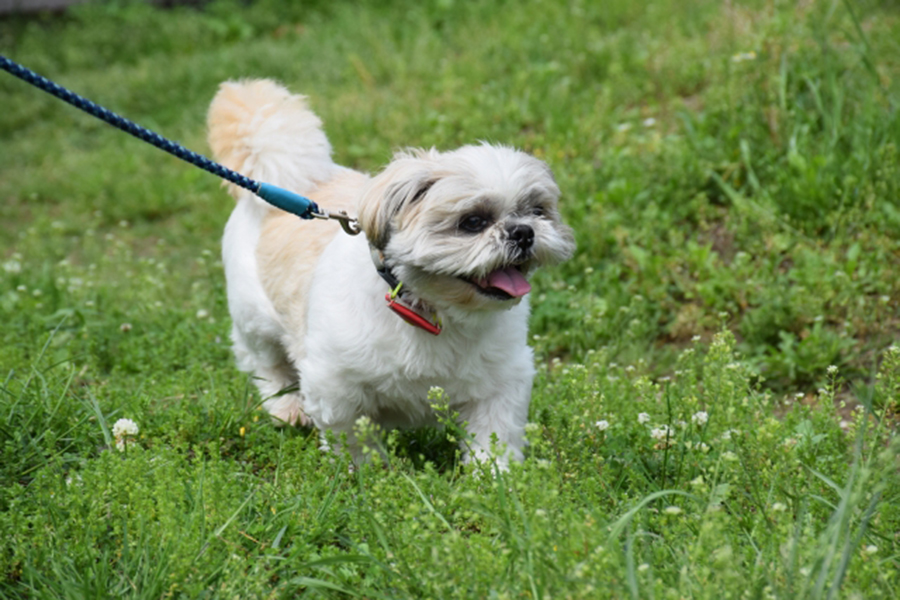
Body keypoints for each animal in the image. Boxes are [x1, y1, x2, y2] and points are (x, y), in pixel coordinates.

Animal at [207, 78, 572, 464]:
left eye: (537, 211)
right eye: (473, 222)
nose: (523, 232)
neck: (432, 311)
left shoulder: (502, 382)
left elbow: (494, 439)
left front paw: (496, 475)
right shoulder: (334, 385)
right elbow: (353, 439)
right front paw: (365, 472)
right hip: (254, 319)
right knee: (265, 363)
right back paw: (287, 407)